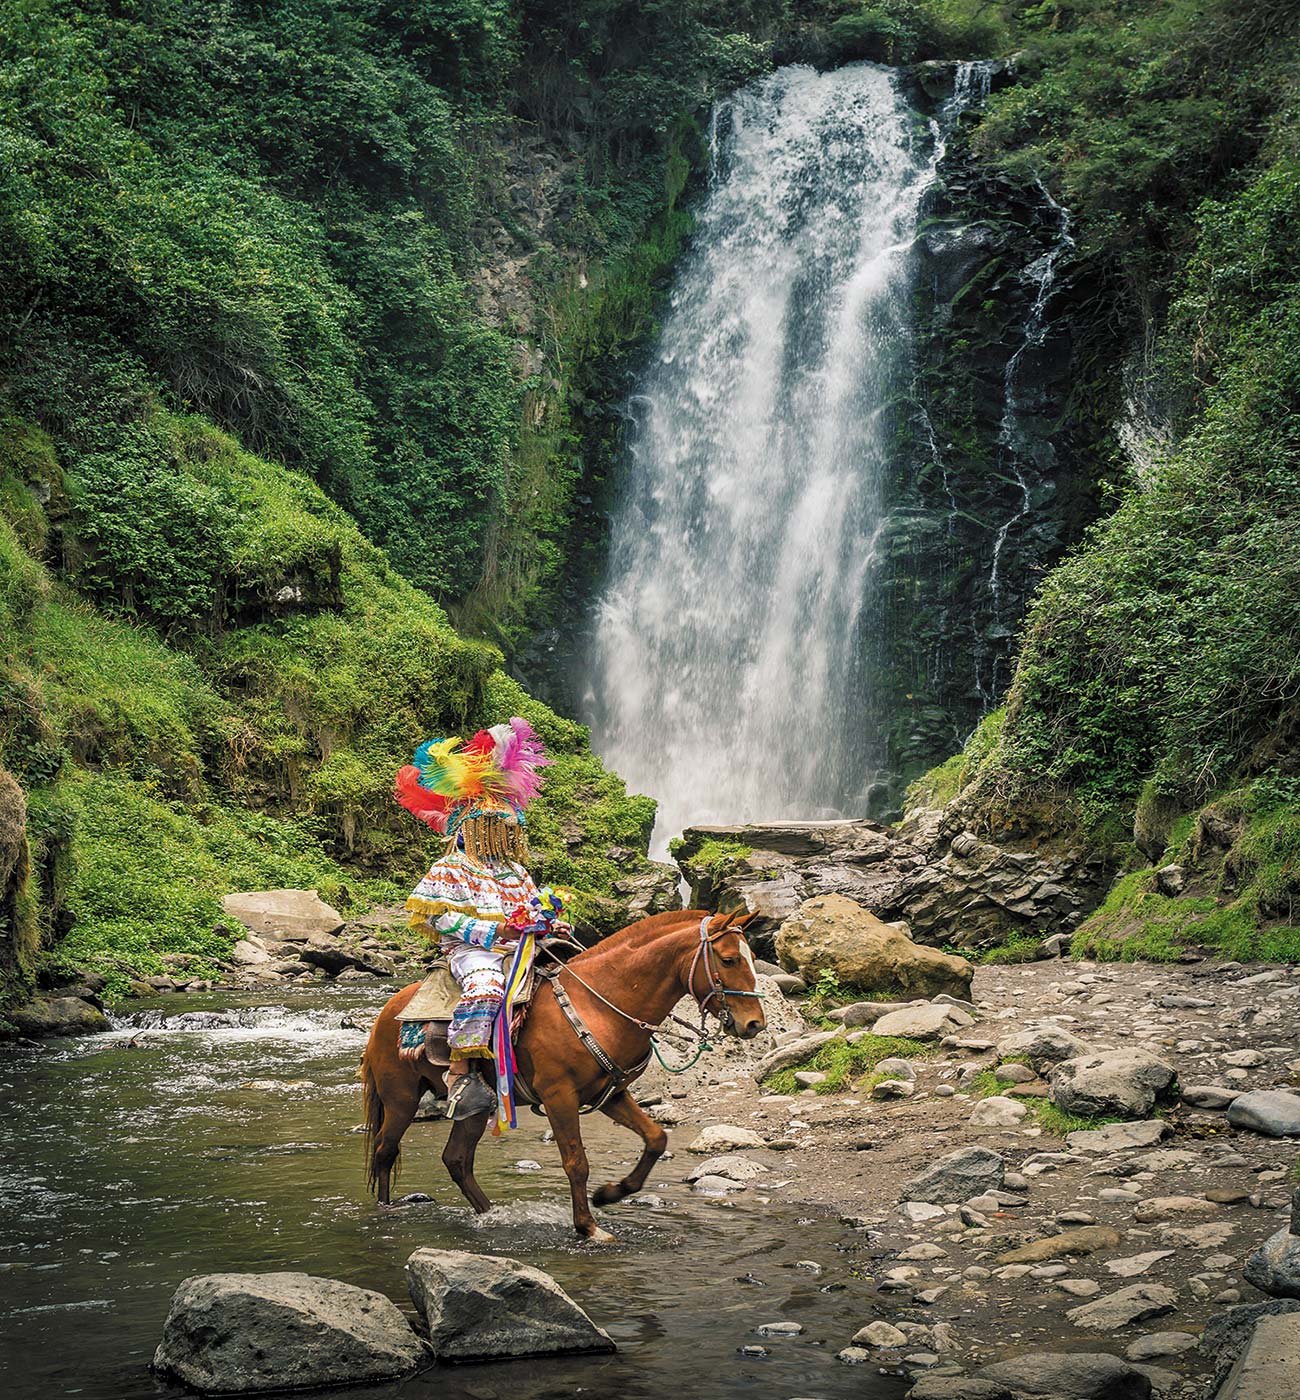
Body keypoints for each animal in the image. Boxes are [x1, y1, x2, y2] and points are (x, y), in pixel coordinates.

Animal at [358, 912, 761, 1243]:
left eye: (753, 959)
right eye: (729, 959)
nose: (755, 1024)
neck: (599, 1003)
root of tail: (386, 1012)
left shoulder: (610, 1095)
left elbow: (656, 1139)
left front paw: (609, 1193)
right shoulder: (559, 1097)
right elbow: (576, 1162)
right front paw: (589, 1227)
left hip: (475, 1109)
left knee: (456, 1160)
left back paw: (492, 1215)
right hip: (401, 1098)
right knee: (385, 1151)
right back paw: (385, 1211)